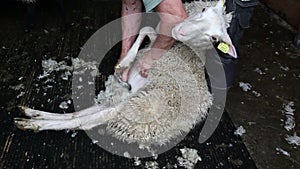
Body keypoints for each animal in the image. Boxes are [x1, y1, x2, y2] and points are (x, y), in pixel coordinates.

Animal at [14, 0, 234, 147]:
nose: (180, 31)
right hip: (123, 101)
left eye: (214, 38)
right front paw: (124, 65)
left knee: (83, 121)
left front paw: (124, 65)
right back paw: (31, 114)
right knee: (80, 114)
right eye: (204, 9)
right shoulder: (153, 46)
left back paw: (33, 124)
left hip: (130, 108)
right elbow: (146, 29)